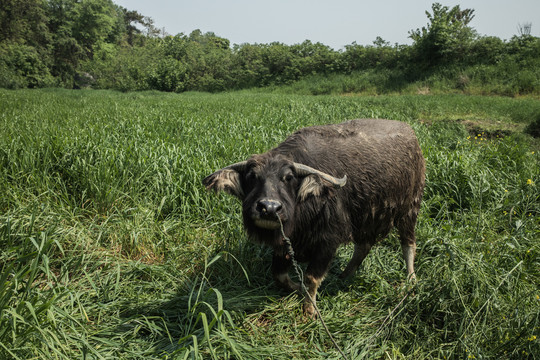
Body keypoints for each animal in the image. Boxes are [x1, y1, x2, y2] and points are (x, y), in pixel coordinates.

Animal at [204, 119, 426, 316]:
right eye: (252, 176)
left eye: (288, 177)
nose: (269, 208)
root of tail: (412, 135)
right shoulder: (286, 243)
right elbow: (279, 275)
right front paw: (297, 288)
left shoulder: (327, 241)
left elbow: (311, 277)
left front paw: (309, 310)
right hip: (367, 217)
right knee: (363, 246)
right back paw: (344, 275)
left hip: (410, 209)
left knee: (408, 244)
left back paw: (411, 280)